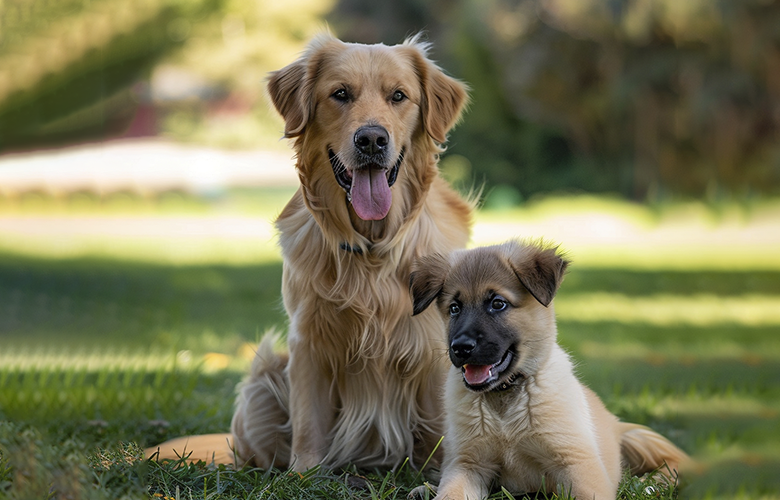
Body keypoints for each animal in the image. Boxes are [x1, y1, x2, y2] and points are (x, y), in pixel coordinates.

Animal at [149, 34, 472, 468]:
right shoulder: (307, 340)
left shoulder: (434, 345)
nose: (372, 139)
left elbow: (442, 427)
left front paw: (440, 474)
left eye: (399, 96)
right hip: (264, 376)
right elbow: (308, 422)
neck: (371, 249)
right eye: (340, 94)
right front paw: (305, 473)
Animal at [412, 240, 684, 498]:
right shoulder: (467, 463)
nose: (460, 348)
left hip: (639, 439)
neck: (505, 400)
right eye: (454, 308)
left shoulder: (577, 463)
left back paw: (650, 484)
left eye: (497, 304)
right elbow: (450, 492)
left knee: (674, 465)